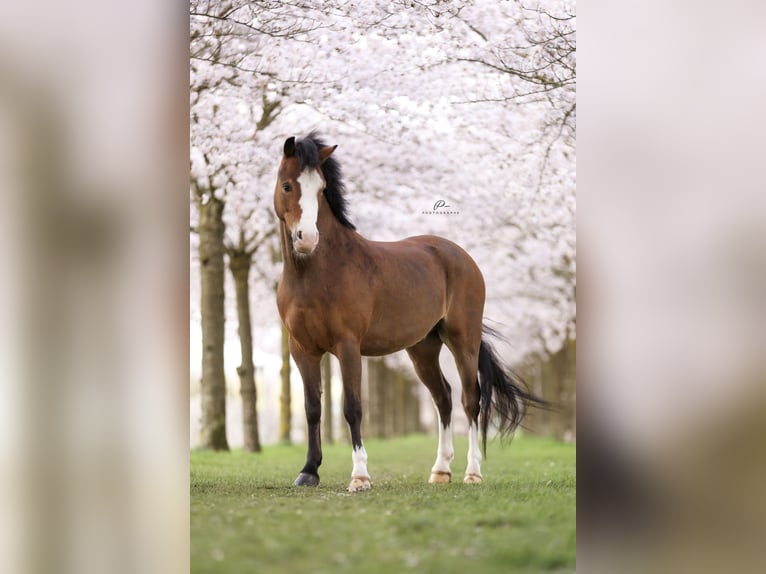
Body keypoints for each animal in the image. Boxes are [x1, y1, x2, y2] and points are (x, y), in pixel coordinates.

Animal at [274, 132, 543, 492]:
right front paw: (308, 472)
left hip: (463, 340)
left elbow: (352, 407)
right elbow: (312, 408)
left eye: (321, 188)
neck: (316, 272)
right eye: (287, 185)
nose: (307, 239)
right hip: (423, 348)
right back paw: (441, 470)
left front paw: (360, 476)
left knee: (470, 400)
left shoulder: (348, 346)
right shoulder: (302, 349)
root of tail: (459, 255)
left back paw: (473, 472)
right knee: (443, 398)